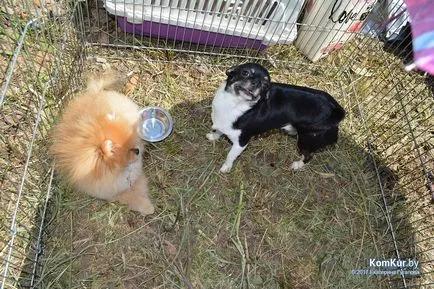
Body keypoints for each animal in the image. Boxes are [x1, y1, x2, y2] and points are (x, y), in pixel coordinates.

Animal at [50, 73, 155, 215]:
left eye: (132, 144)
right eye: (127, 152)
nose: (137, 150)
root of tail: (94, 93)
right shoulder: (115, 190)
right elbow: (132, 197)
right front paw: (147, 207)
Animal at [207, 62, 346, 173]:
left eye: (265, 85)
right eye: (245, 73)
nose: (256, 83)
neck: (234, 104)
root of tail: (335, 110)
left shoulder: (241, 143)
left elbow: (230, 156)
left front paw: (226, 167)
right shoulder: (221, 123)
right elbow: (218, 131)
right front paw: (213, 136)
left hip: (306, 140)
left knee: (309, 155)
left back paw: (297, 165)